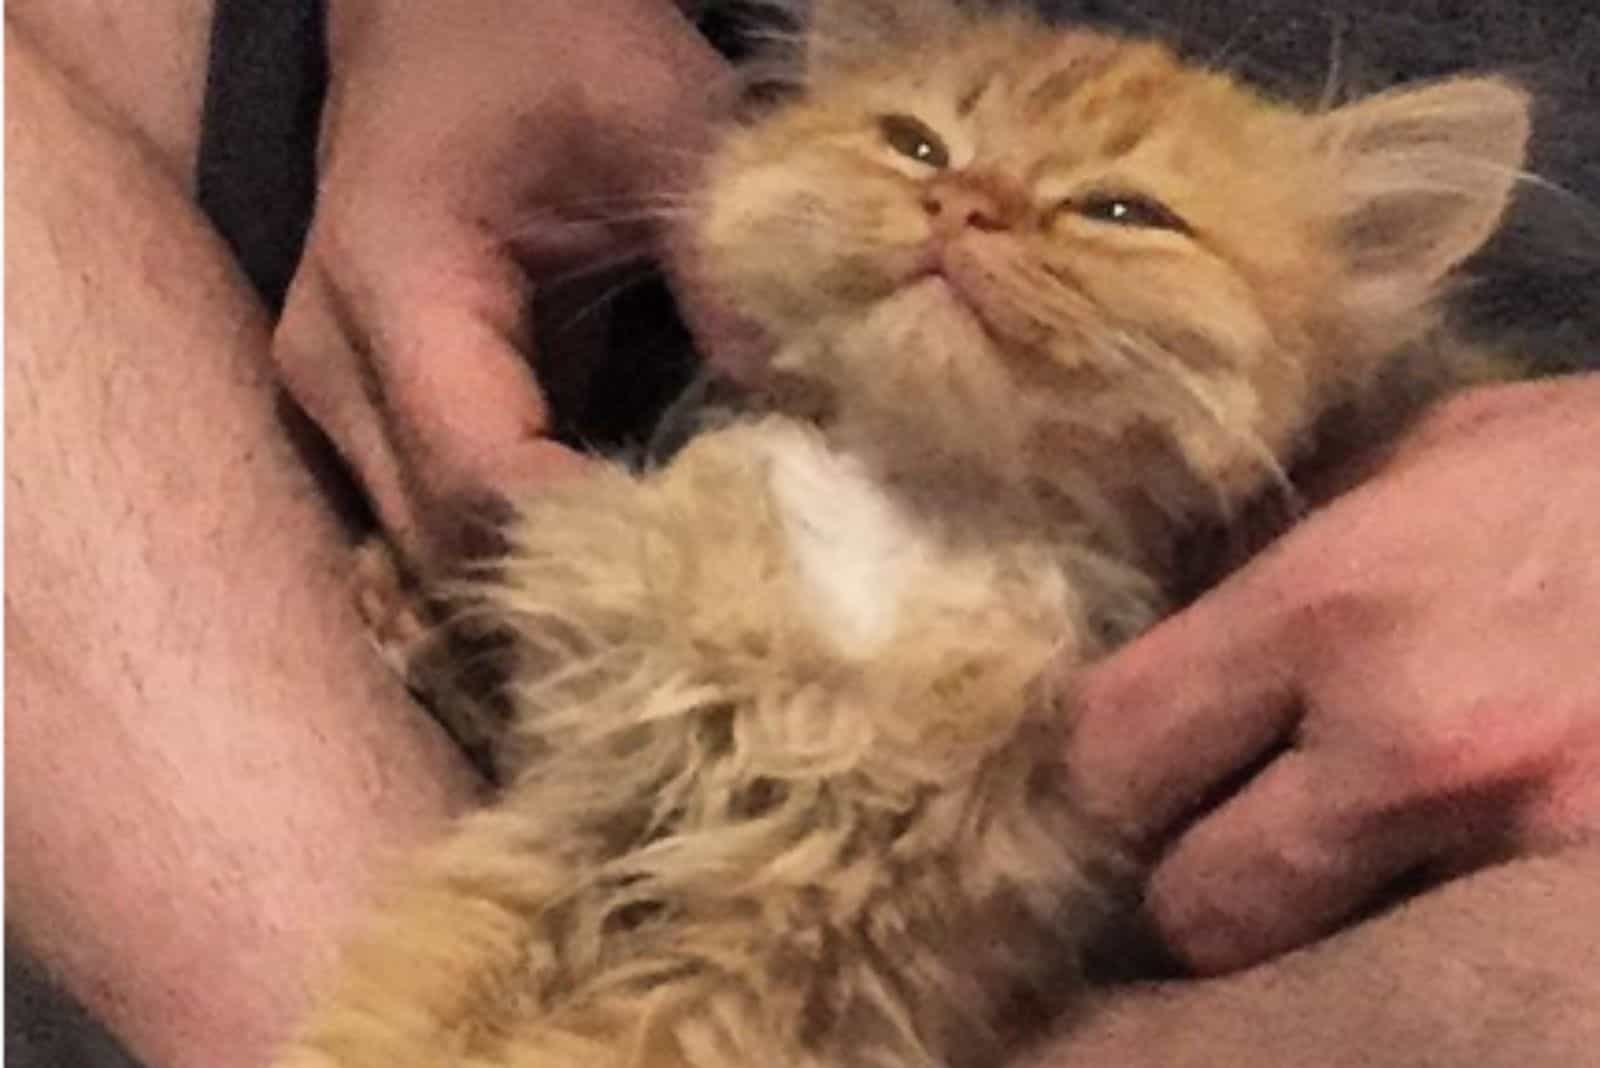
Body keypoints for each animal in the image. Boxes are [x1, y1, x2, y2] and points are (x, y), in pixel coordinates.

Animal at [278, 2, 1536, 1068]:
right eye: (917, 144)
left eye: (1121, 213)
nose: (965, 202)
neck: (911, 511)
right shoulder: (581, 812)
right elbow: (412, 997)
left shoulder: (795, 955)